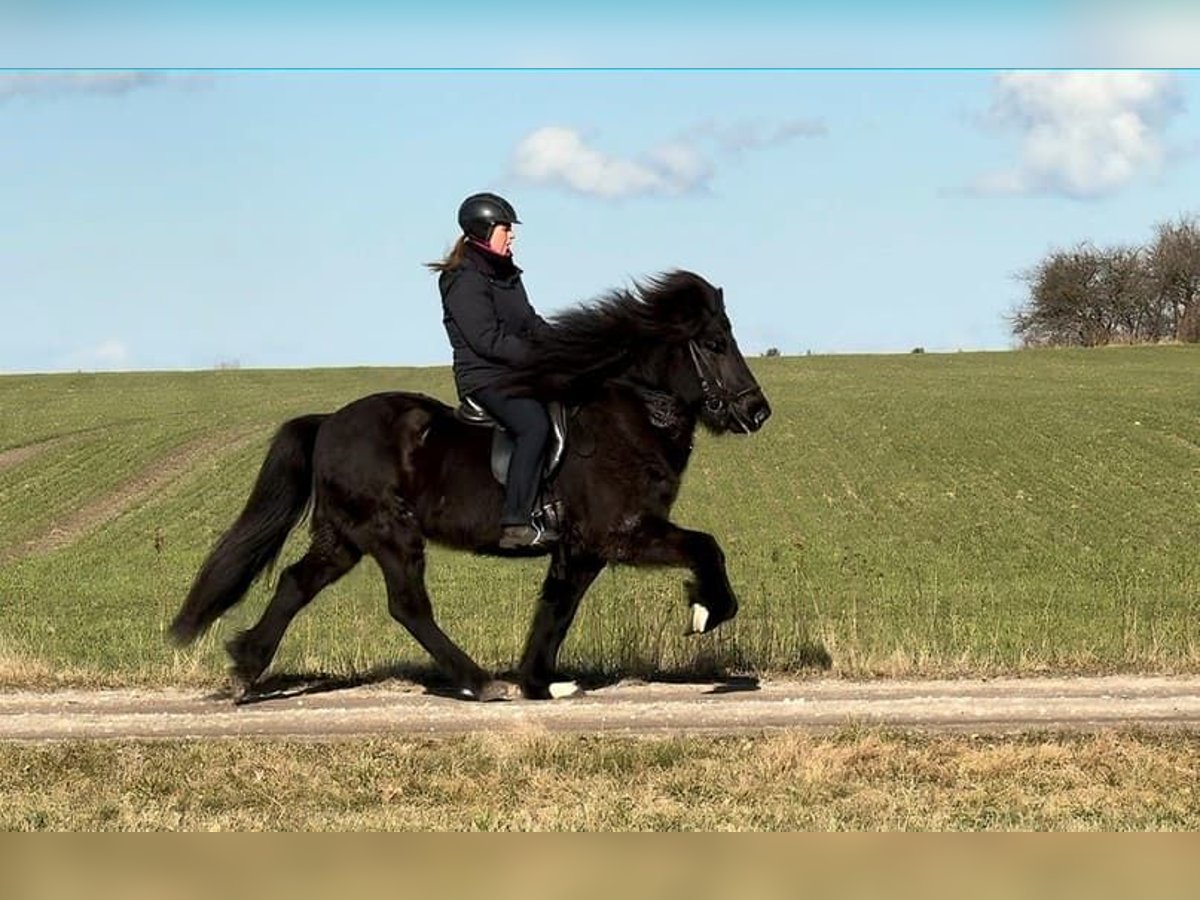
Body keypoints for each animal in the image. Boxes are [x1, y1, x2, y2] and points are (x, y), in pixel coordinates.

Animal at [166, 270, 768, 705]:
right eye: (715, 342)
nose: (758, 412)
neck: (628, 415)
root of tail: (329, 422)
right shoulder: (622, 533)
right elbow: (705, 546)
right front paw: (707, 609)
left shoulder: (581, 550)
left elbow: (557, 610)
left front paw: (541, 683)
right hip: (388, 531)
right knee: (408, 606)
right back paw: (479, 682)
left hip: (343, 537)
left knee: (296, 583)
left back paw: (245, 668)